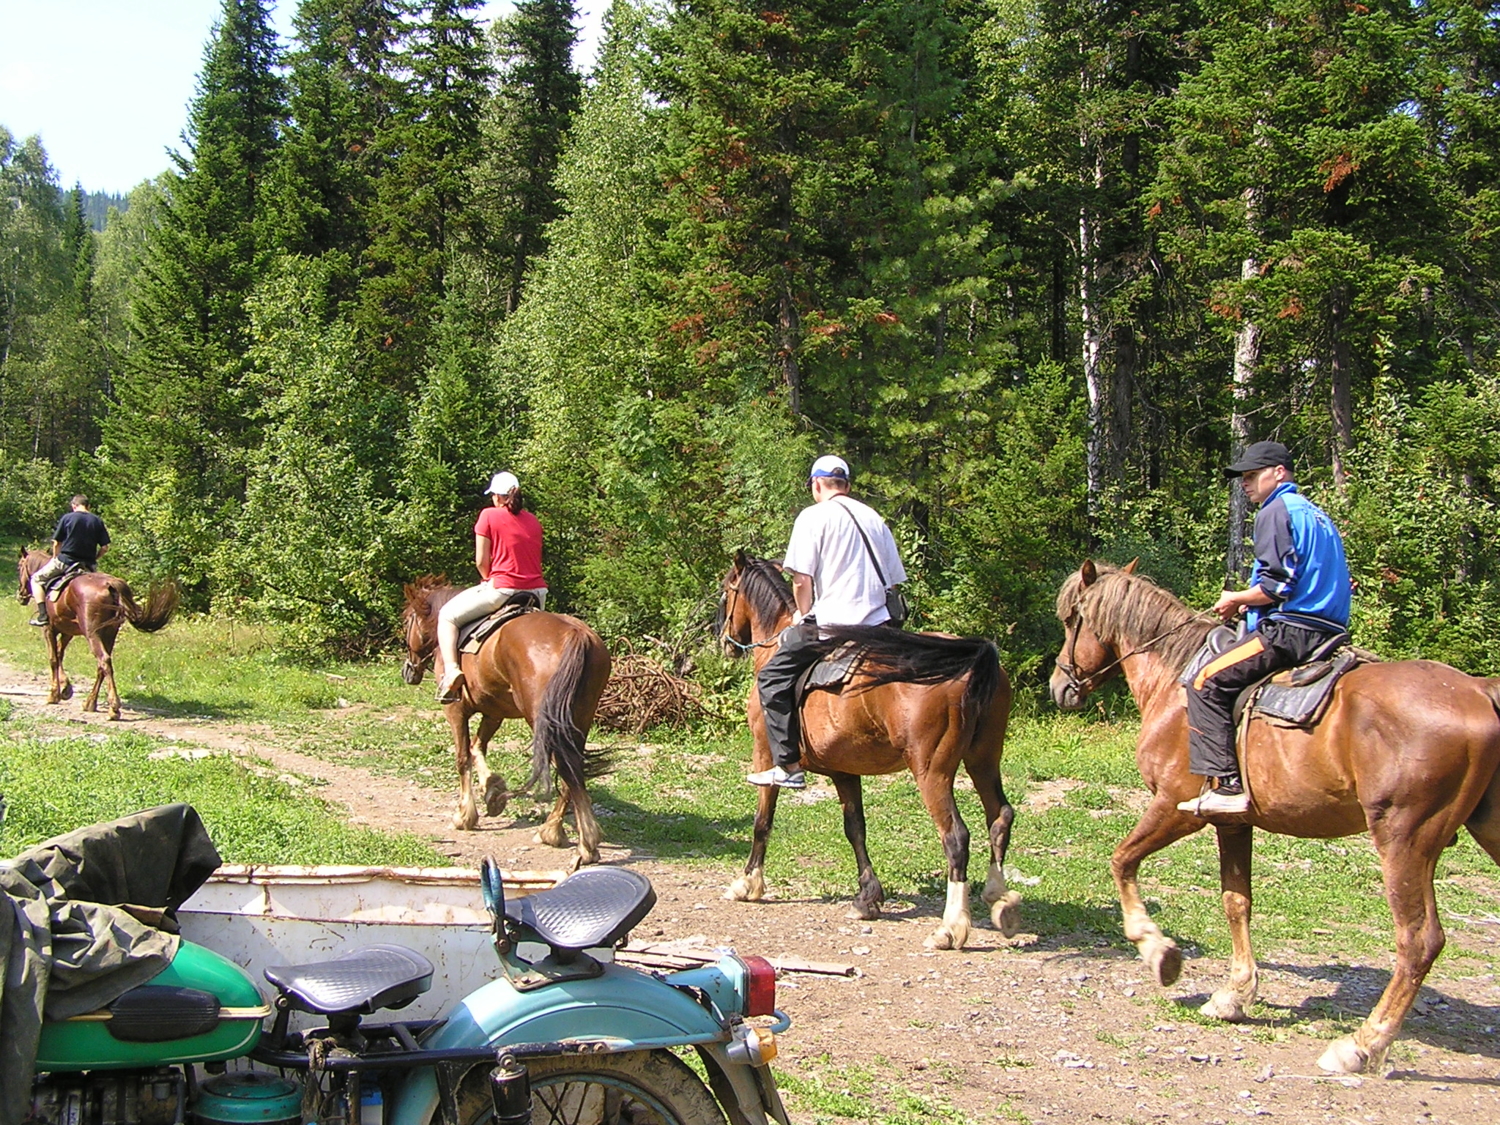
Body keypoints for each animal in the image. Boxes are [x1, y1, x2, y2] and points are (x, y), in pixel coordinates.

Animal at [16, 549, 179, 723]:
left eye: (19, 566)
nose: (20, 594)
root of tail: (110, 585)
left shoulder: (48, 629)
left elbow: (53, 658)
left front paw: (54, 694)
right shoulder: (68, 632)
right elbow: (59, 654)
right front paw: (66, 688)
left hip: (93, 634)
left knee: (103, 660)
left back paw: (113, 708)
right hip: (109, 633)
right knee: (102, 665)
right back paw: (90, 703)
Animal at [402, 576, 612, 870]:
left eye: (406, 621)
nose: (408, 670)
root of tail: (577, 634)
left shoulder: (455, 709)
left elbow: (462, 757)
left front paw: (465, 815)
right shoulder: (494, 712)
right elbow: (477, 747)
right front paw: (493, 790)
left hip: (544, 720)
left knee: (566, 766)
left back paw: (583, 844)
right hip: (579, 718)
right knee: (572, 769)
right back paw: (555, 832)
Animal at [714, 552, 1020, 954]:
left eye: (726, 591)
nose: (724, 641)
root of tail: (969, 662)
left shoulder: (765, 754)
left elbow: (762, 821)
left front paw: (748, 882)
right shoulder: (845, 771)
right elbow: (855, 828)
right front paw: (868, 897)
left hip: (932, 771)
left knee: (956, 838)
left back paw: (951, 927)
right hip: (984, 759)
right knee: (1000, 817)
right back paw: (999, 897)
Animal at [1050, 561, 1500, 1074]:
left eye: (1071, 620)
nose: (1060, 686)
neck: (1176, 681)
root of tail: (1480, 690)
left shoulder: (1175, 808)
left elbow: (1122, 861)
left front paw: (1156, 948)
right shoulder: (1232, 822)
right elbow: (1236, 902)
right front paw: (1235, 994)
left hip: (1405, 839)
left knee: (1419, 940)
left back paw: (1363, 1043)